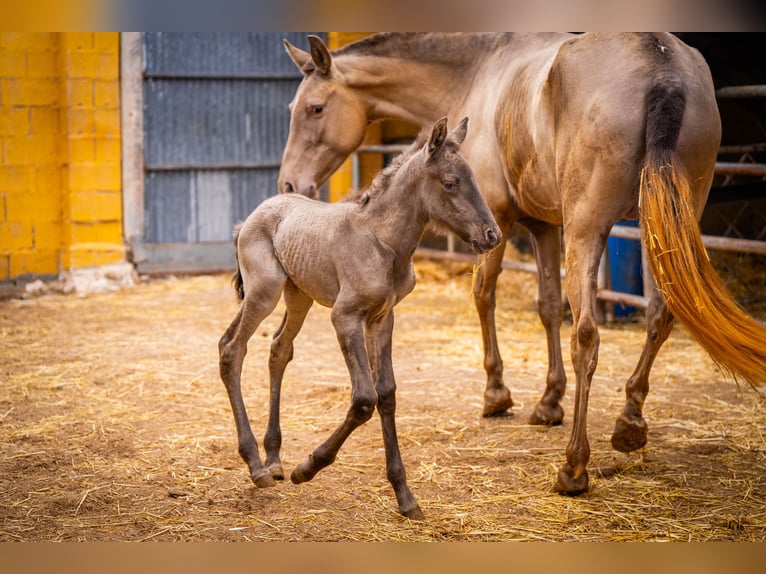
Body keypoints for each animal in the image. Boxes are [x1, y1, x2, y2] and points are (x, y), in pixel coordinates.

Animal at [219, 118, 500, 520]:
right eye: (450, 183)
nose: (492, 235)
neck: (383, 242)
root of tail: (248, 221)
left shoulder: (383, 318)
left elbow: (387, 393)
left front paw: (405, 496)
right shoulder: (346, 317)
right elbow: (365, 398)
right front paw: (308, 467)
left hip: (298, 295)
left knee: (278, 349)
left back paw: (273, 459)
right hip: (264, 291)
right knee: (232, 349)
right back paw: (256, 465)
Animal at [278, 30, 766, 496]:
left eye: (316, 108)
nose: (288, 184)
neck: (478, 70)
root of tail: (661, 61)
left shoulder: (497, 220)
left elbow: (484, 296)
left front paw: (497, 393)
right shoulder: (544, 225)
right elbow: (548, 305)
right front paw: (549, 401)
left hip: (588, 229)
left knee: (586, 336)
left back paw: (574, 466)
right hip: (664, 223)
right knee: (659, 315)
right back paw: (629, 421)